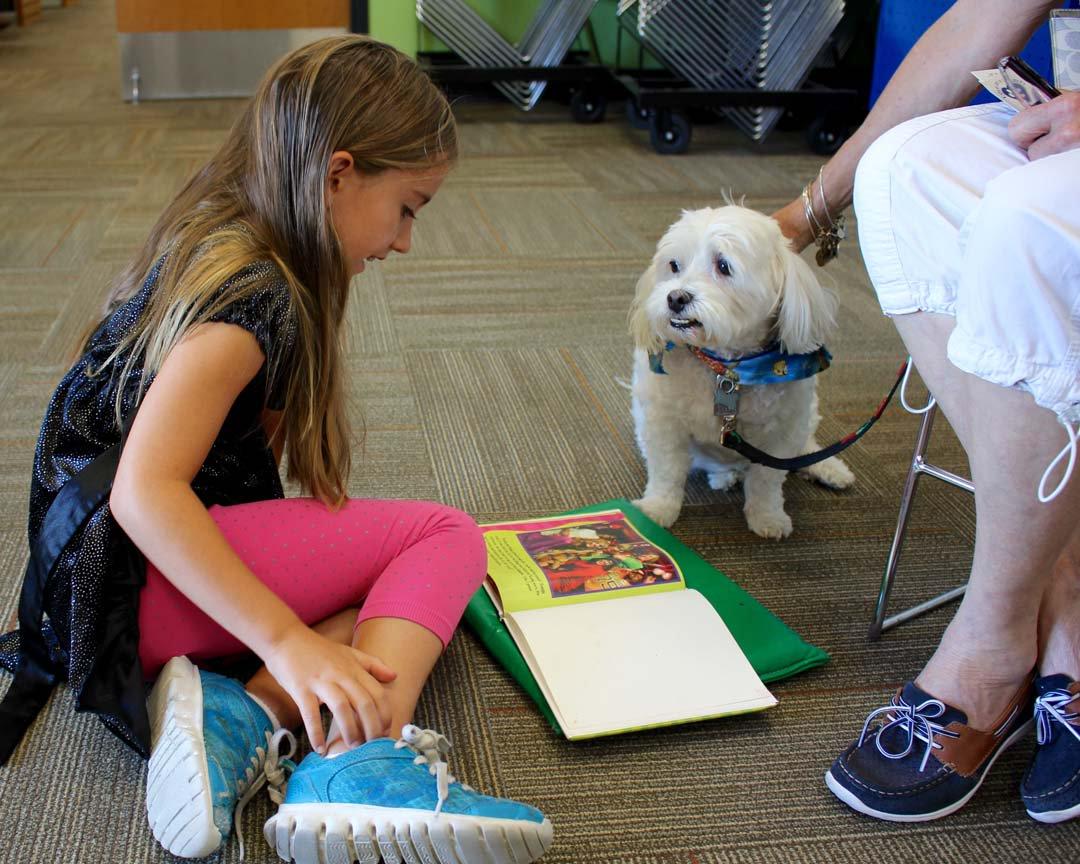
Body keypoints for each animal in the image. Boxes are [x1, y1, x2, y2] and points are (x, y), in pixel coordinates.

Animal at [630, 205, 851, 535]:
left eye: (723, 266)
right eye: (674, 265)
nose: (675, 298)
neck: (726, 370)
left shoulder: (780, 433)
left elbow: (766, 481)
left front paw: (768, 517)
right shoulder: (662, 420)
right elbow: (666, 470)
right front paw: (657, 510)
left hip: (806, 414)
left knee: (805, 445)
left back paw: (829, 467)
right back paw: (726, 476)